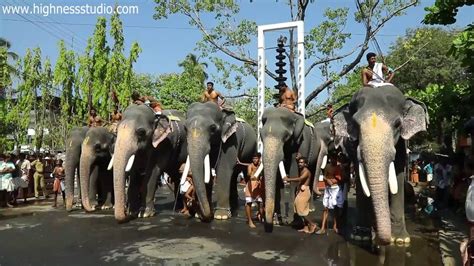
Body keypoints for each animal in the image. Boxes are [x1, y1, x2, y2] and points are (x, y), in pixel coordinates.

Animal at [330, 85, 430, 245]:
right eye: (355, 125)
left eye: (398, 124)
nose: (384, 241)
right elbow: (361, 180)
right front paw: (360, 237)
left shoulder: (401, 145)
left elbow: (398, 175)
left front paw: (400, 240)